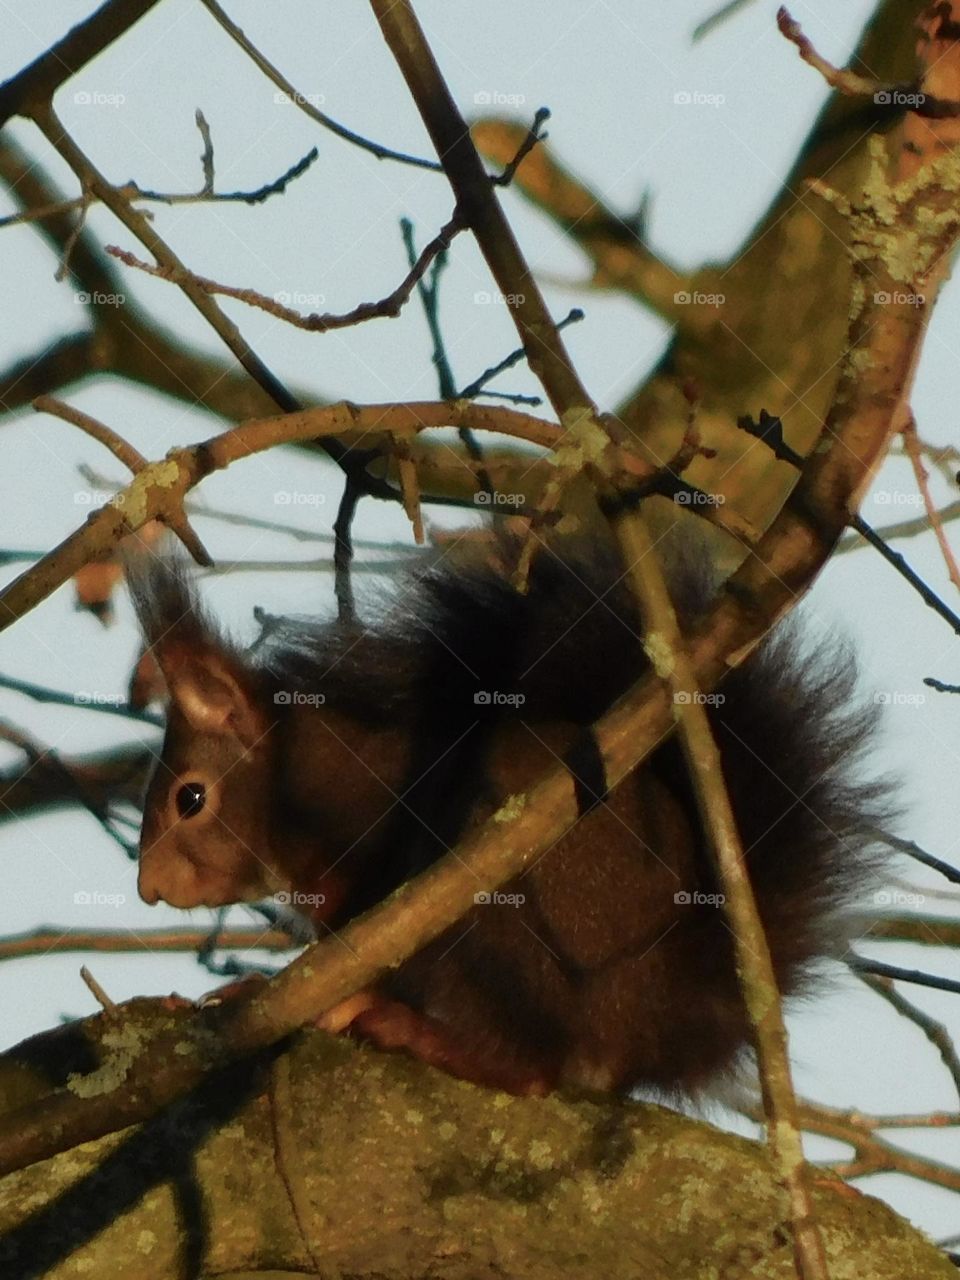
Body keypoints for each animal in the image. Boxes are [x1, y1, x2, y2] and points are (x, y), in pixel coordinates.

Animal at [128, 524, 890, 1097]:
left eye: (190, 798)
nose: (149, 889)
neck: (294, 777)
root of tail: (654, 1022)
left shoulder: (365, 857)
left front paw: (280, 996)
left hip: (507, 920)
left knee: (530, 1069)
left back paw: (407, 1028)